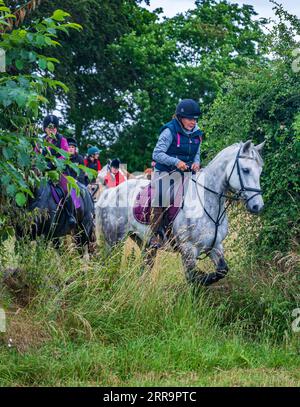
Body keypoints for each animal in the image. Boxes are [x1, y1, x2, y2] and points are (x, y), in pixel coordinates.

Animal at [95, 142, 264, 288]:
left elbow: (222, 270)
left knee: (144, 268)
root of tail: (109, 193)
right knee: (109, 264)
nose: (258, 206)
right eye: (246, 170)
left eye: (260, 171)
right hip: (113, 240)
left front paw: (206, 278)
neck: (208, 202)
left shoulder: (215, 245)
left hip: (144, 242)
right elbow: (192, 278)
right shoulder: (188, 249)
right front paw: (201, 281)